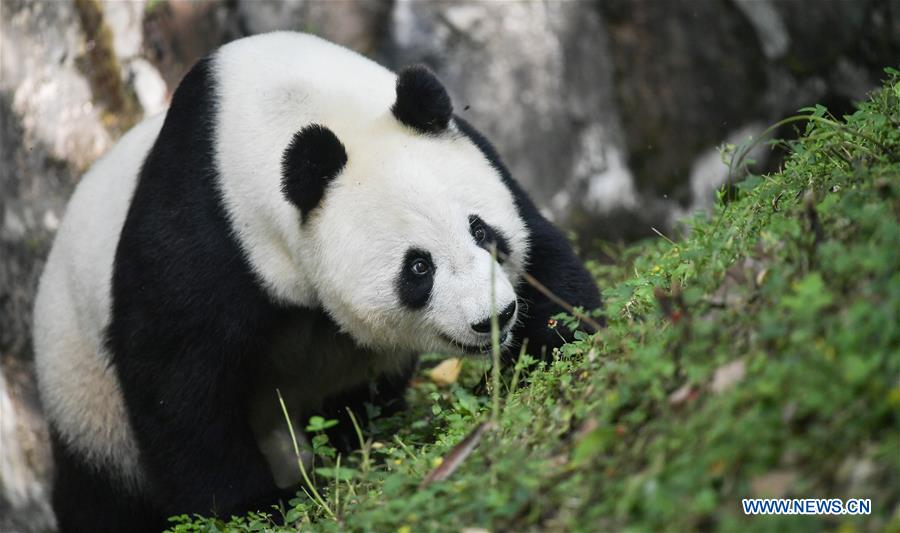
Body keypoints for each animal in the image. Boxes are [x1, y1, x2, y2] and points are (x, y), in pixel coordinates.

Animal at [32, 32, 600, 532]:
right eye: (418, 268)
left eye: (481, 230)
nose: (494, 319)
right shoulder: (204, 227)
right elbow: (177, 380)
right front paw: (254, 508)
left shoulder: (478, 153)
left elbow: (543, 257)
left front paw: (556, 348)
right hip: (83, 392)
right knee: (100, 493)